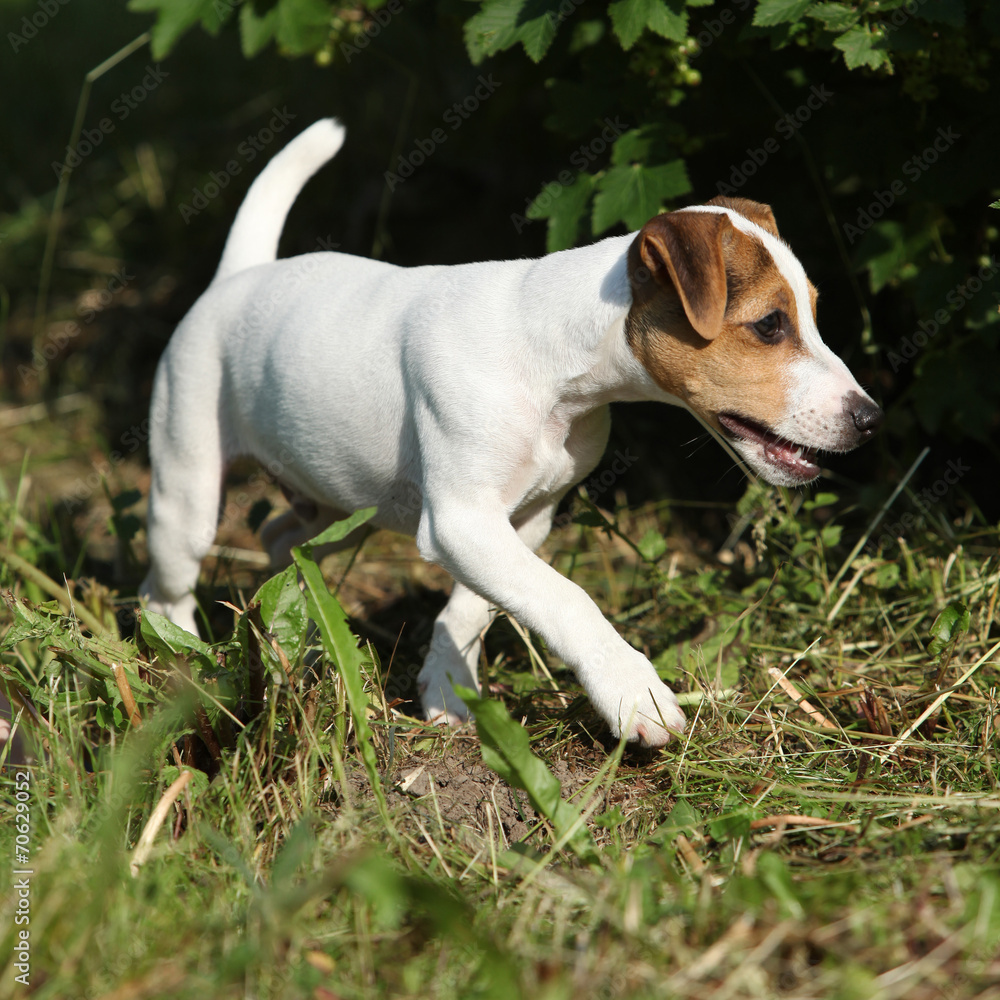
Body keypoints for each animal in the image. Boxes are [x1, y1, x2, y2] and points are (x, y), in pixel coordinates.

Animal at [143, 119, 884, 744]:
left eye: (812, 315)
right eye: (770, 325)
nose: (870, 419)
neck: (553, 365)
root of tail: (239, 277)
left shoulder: (523, 520)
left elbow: (478, 607)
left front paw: (447, 684)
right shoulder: (462, 521)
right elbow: (568, 599)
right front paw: (632, 692)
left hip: (337, 503)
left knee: (283, 540)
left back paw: (293, 636)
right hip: (188, 487)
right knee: (165, 587)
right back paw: (179, 667)